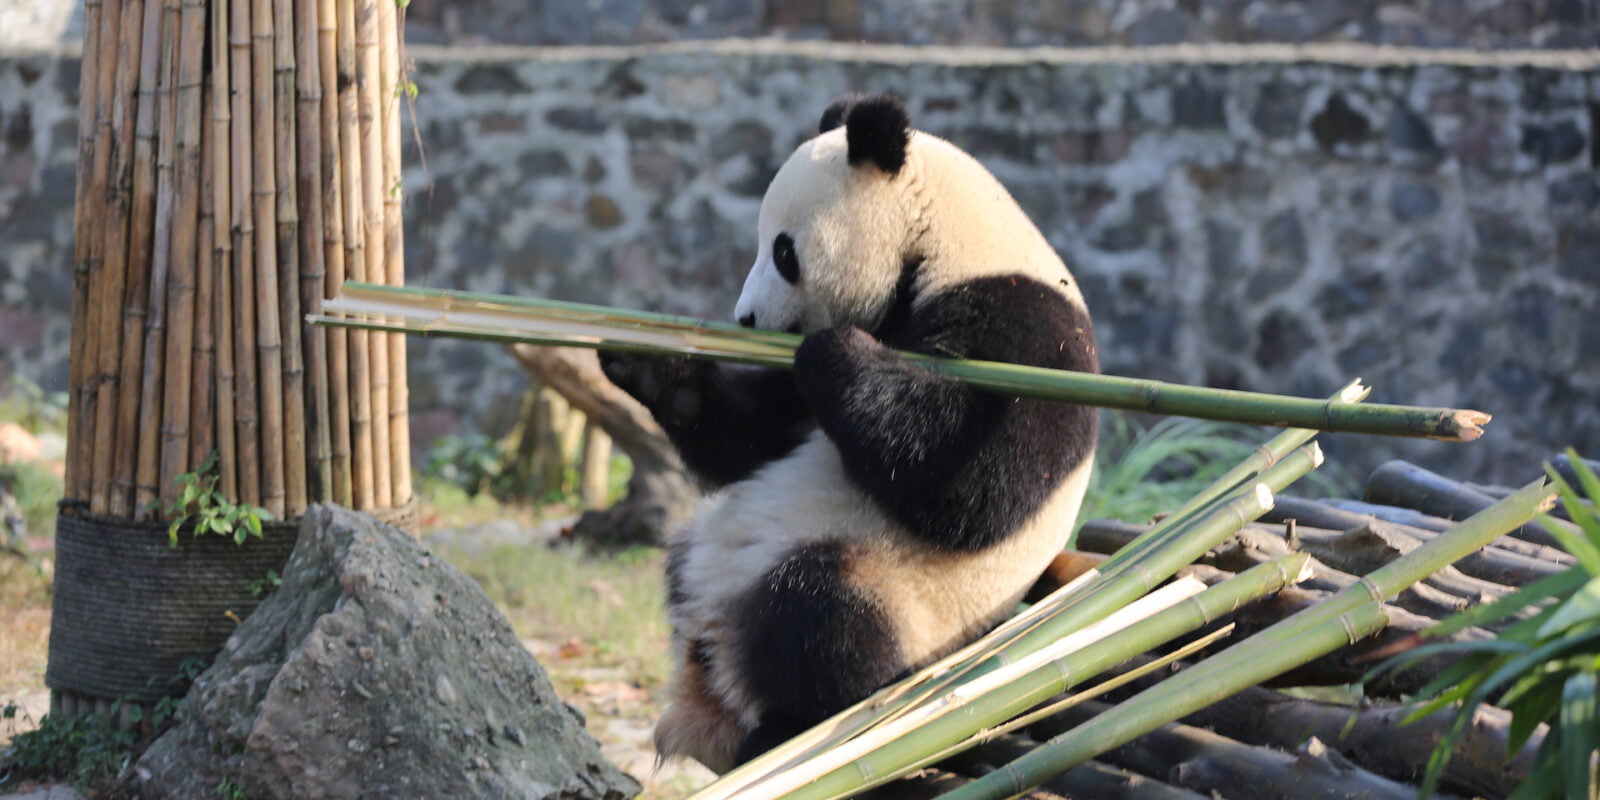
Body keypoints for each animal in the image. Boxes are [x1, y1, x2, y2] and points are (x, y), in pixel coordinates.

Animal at [601, 93, 1100, 774]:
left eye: (783, 251)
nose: (745, 319)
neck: (949, 248)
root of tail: (719, 668)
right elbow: (750, 439)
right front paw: (646, 361)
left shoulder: (1030, 334)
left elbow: (975, 483)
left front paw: (833, 350)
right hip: (707, 550)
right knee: (686, 561)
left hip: (906, 596)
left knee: (825, 618)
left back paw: (783, 727)